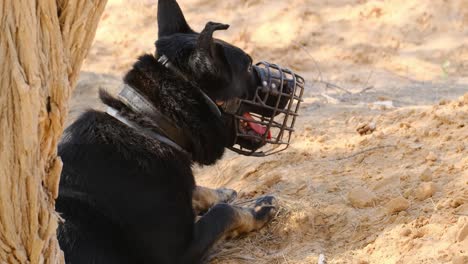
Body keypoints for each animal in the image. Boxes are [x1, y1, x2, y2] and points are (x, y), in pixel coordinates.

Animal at [55, 0, 284, 264]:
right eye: (247, 66)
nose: (289, 84)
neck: (149, 125)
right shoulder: (178, 252)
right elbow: (224, 213)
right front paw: (255, 209)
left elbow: (199, 191)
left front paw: (220, 192)